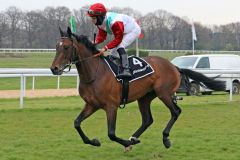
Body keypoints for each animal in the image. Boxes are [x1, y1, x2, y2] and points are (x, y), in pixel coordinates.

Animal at [50, 26, 225, 151]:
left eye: (66, 47)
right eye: (56, 47)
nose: (54, 68)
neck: (94, 73)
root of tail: (174, 66)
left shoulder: (111, 106)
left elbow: (111, 134)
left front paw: (126, 143)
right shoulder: (92, 105)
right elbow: (76, 123)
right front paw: (94, 141)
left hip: (164, 93)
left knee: (175, 111)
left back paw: (164, 138)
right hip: (145, 97)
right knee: (148, 119)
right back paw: (134, 138)